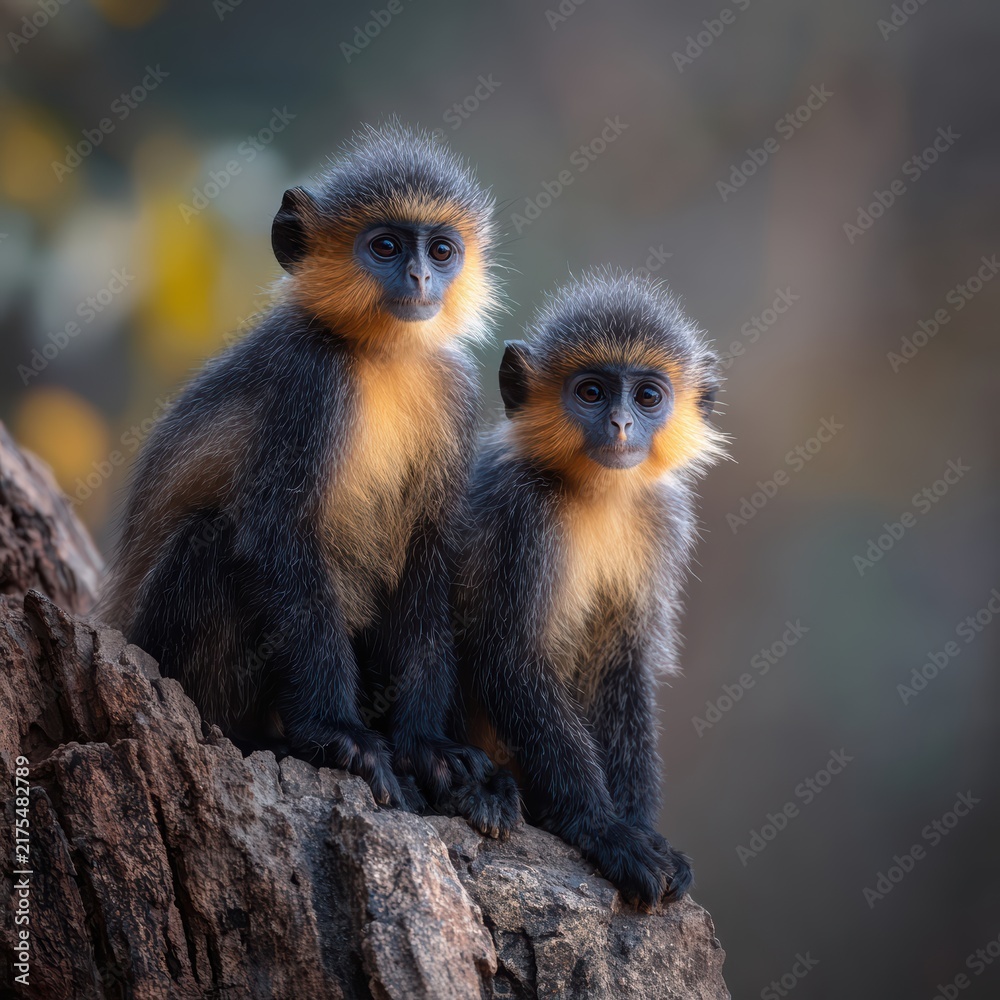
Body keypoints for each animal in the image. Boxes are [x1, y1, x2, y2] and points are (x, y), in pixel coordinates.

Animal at [102, 123, 516, 819]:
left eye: (440, 250)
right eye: (385, 245)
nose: (419, 275)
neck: (380, 358)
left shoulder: (454, 390)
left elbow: (427, 559)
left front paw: (427, 745)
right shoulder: (310, 379)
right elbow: (273, 538)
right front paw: (338, 735)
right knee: (213, 540)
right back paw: (256, 735)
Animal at [453, 270, 726, 905]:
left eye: (647, 397)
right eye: (593, 392)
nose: (621, 425)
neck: (597, 494)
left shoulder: (662, 518)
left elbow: (623, 664)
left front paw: (641, 828)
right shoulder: (522, 511)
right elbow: (507, 655)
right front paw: (603, 829)